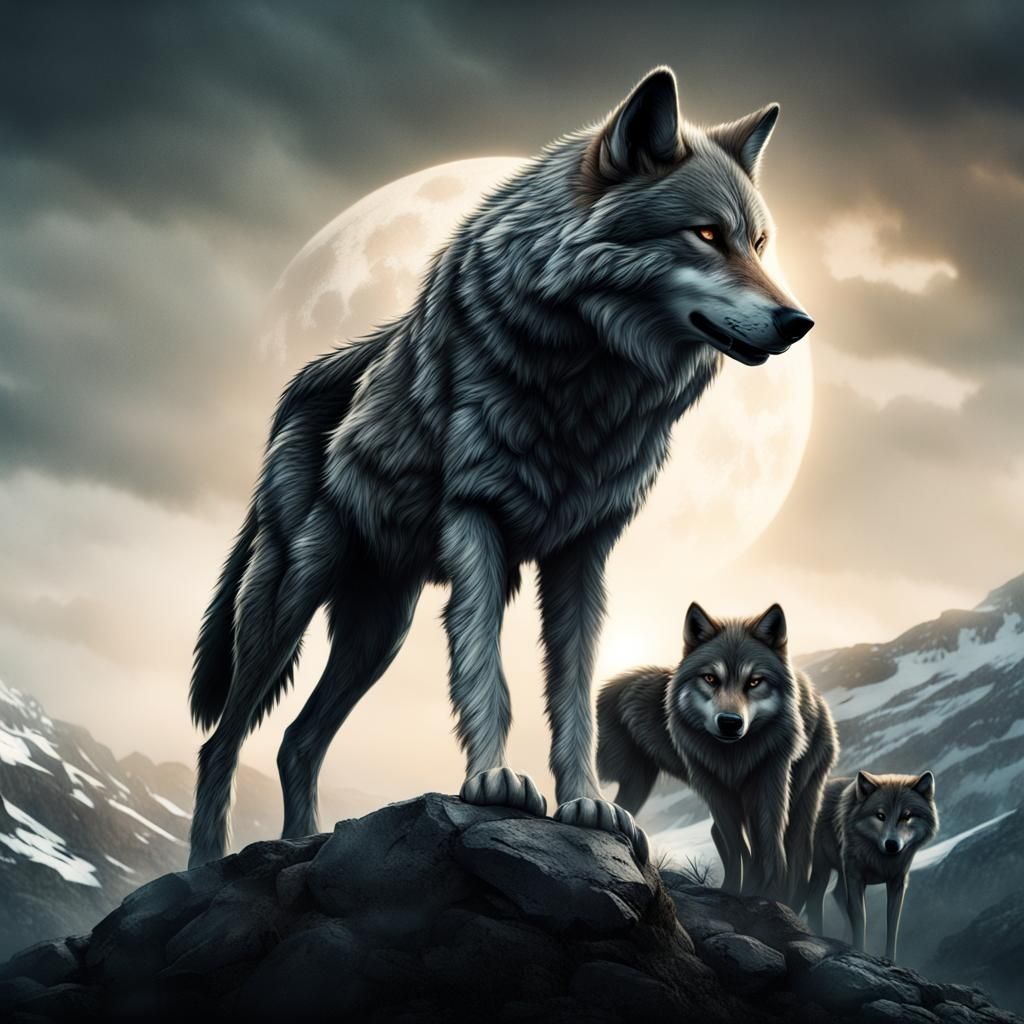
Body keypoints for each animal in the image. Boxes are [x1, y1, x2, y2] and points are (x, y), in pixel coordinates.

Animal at [187, 66, 814, 869]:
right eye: (706, 234)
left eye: (760, 244)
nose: (799, 324)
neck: (586, 379)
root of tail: (305, 377)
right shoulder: (475, 522)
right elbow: (489, 674)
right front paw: (492, 783)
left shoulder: (584, 553)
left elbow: (574, 692)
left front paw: (587, 804)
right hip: (291, 597)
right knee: (222, 743)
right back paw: (206, 864)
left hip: (378, 630)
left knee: (298, 742)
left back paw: (304, 845)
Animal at [597, 602, 837, 901]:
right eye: (711, 678)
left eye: (754, 682)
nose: (730, 722)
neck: (734, 757)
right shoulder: (714, 788)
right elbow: (737, 848)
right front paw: (739, 890)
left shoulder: (769, 781)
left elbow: (769, 845)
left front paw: (770, 892)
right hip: (637, 782)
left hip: (802, 797)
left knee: (797, 856)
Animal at [805, 771, 938, 960]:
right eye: (880, 815)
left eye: (906, 816)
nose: (891, 844)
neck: (881, 859)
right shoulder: (855, 878)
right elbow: (861, 919)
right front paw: (860, 951)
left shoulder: (898, 883)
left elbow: (893, 924)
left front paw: (890, 960)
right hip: (822, 868)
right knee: (814, 898)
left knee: (837, 894)